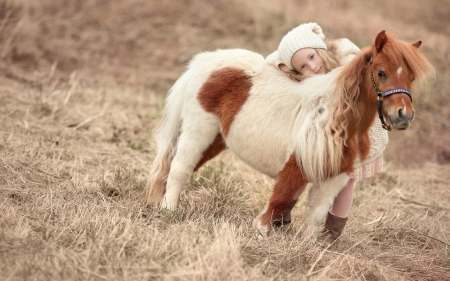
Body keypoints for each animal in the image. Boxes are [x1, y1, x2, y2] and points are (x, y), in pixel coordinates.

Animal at [142, 30, 434, 236]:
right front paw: (261, 232)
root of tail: (208, 59)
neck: (335, 115)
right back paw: (169, 211)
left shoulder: (336, 176)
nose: (403, 116)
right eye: (381, 73)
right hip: (198, 130)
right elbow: (280, 198)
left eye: (410, 77)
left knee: (176, 167)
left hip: (215, 140)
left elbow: (317, 215)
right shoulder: (296, 166)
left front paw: (308, 248)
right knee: (179, 168)